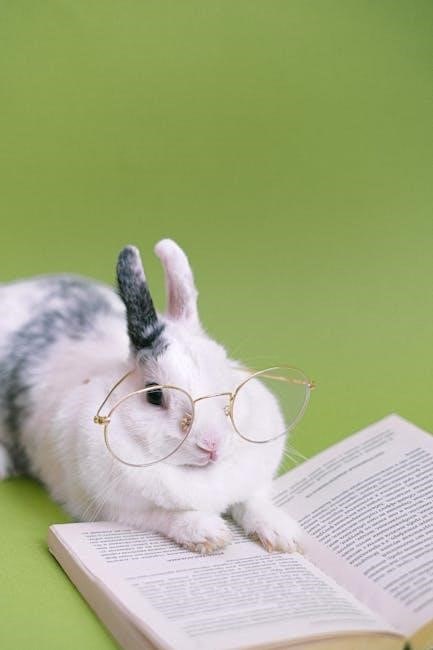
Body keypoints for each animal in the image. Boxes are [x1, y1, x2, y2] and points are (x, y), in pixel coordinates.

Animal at [0, 239, 301, 553]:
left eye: (225, 374)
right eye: (155, 395)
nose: (212, 445)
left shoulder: (252, 484)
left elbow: (252, 502)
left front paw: (285, 536)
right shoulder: (120, 510)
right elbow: (167, 516)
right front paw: (209, 535)